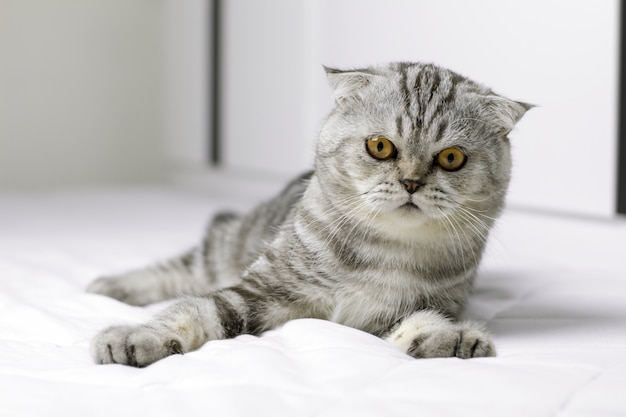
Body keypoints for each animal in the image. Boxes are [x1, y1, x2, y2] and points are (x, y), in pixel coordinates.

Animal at [86, 61, 528, 364]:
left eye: (452, 158)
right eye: (380, 147)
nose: (411, 182)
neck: (387, 250)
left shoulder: (411, 309)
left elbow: (422, 323)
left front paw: (451, 339)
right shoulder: (257, 290)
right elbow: (192, 310)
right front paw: (135, 338)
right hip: (226, 247)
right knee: (181, 270)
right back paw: (110, 286)